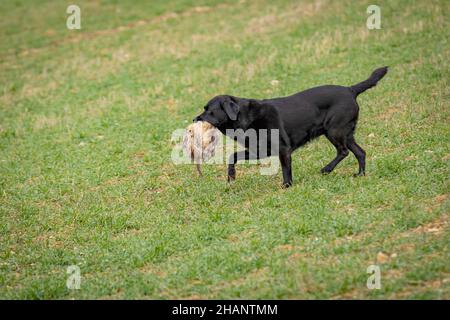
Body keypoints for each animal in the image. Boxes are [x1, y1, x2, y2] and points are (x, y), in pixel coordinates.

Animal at [192, 67, 386, 188]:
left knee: (343, 151)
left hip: (334, 131)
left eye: (209, 110)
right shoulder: (258, 151)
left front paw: (286, 186)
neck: (246, 118)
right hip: (346, 133)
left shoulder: (283, 149)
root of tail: (350, 89)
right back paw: (360, 174)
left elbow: (286, 170)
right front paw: (231, 177)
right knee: (360, 152)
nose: (194, 119)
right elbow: (233, 157)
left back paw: (327, 169)